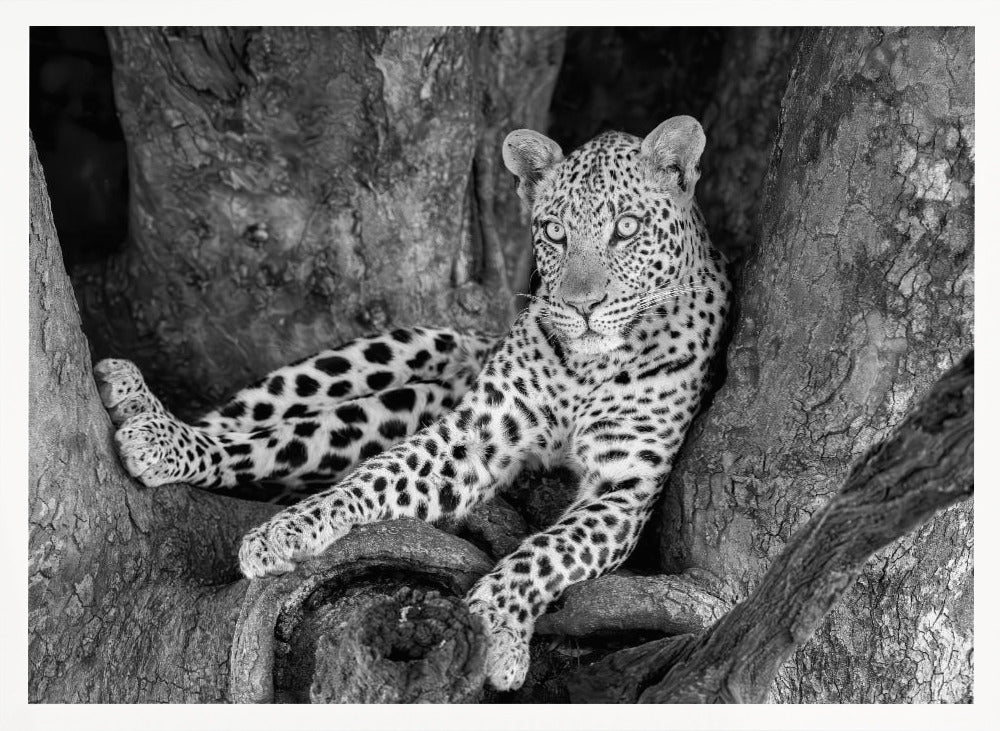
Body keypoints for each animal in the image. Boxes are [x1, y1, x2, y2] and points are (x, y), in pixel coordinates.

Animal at [95, 115, 730, 692]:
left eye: (627, 228)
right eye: (553, 231)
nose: (580, 307)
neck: (589, 365)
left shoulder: (627, 484)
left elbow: (549, 550)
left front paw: (493, 628)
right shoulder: (472, 435)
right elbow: (375, 477)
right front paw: (288, 531)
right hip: (383, 358)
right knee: (245, 429)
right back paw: (147, 418)